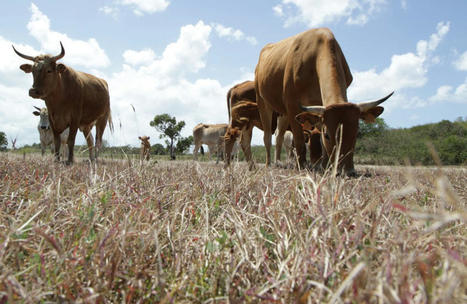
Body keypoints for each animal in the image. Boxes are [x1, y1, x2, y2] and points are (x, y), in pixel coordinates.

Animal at [254, 29, 394, 176]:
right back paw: (269, 164)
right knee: (267, 136)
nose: (346, 171)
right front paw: (302, 166)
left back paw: (278, 162)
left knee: (279, 136)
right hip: (262, 102)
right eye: (328, 135)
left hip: (283, 112)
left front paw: (325, 166)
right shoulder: (292, 104)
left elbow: (320, 140)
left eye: (356, 133)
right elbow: (299, 140)